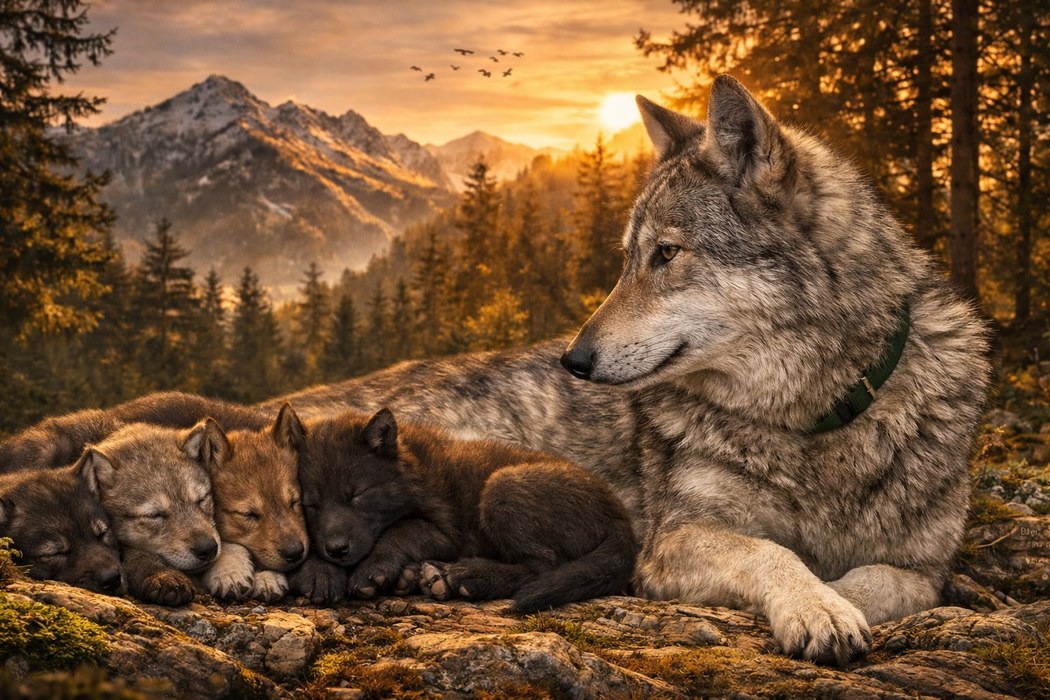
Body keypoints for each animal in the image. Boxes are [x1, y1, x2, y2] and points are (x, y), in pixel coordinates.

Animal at [285, 407, 636, 613]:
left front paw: (374, 570)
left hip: (502, 486)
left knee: (543, 566)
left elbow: (399, 530)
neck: (411, 471)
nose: (337, 550)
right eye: (309, 503)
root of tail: (622, 519)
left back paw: (465, 576)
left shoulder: (445, 533)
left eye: (357, 494)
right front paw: (320, 572)